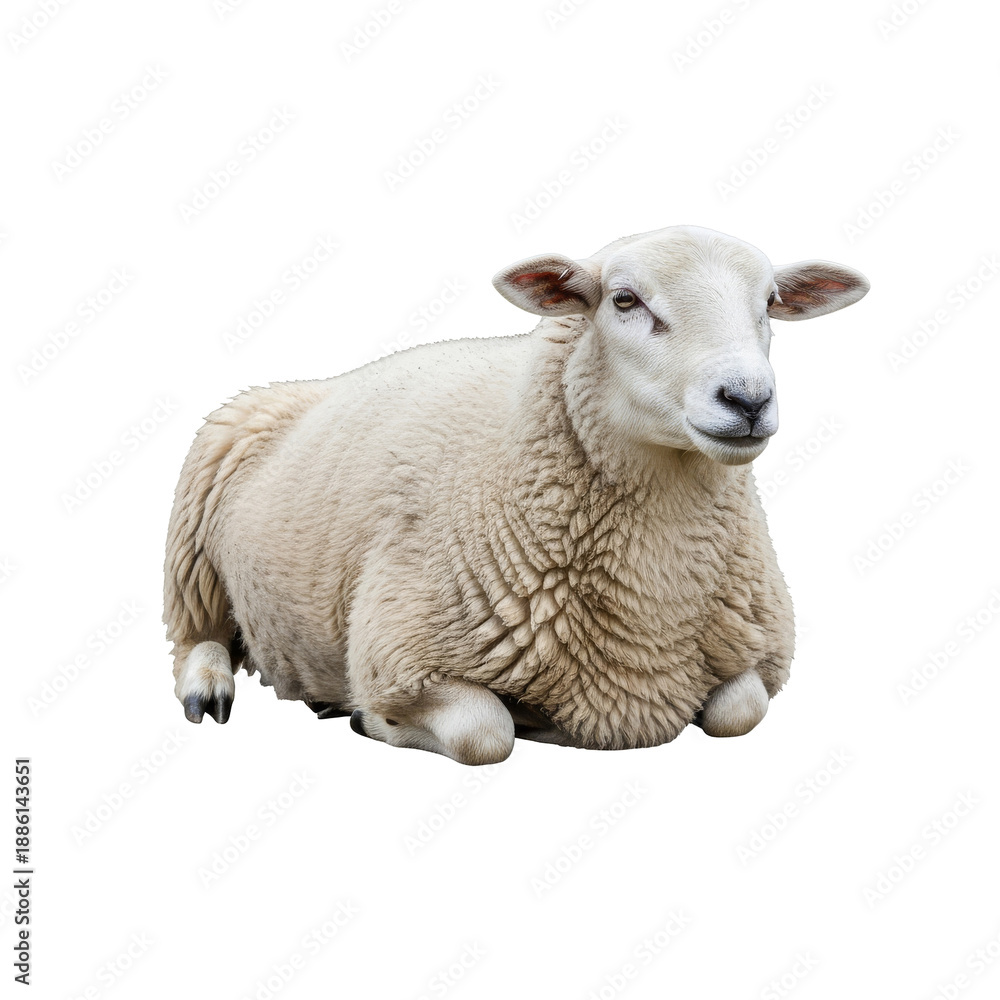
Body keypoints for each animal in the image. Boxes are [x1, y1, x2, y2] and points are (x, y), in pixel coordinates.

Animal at [164, 225, 869, 765]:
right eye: (623, 299)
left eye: (770, 302)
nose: (748, 399)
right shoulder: (398, 652)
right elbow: (487, 734)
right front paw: (376, 721)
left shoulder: (760, 655)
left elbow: (739, 710)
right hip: (195, 527)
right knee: (196, 634)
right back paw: (211, 688)